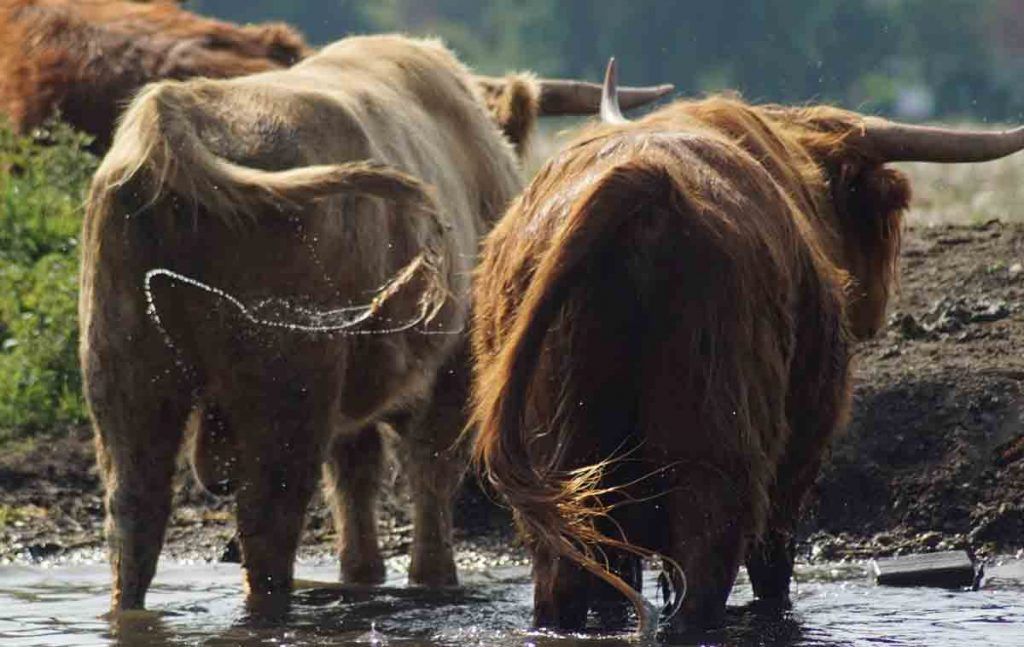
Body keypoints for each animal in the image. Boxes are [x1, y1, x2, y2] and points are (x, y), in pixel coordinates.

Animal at [81, 36, 671, 618]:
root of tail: (177, 111)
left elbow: (355, 479)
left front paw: (362, 575)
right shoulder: (453, 371)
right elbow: (430, 472)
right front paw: (434, 579)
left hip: (126, 374)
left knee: (135, 514)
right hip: (287, 384)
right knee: (268, 519)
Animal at [468, 60, 1024, 638]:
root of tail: (644, 182)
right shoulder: (798, 459)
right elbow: (774, 565)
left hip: (562, 459)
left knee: (564, 580)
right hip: (719, 447)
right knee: (706, 571)